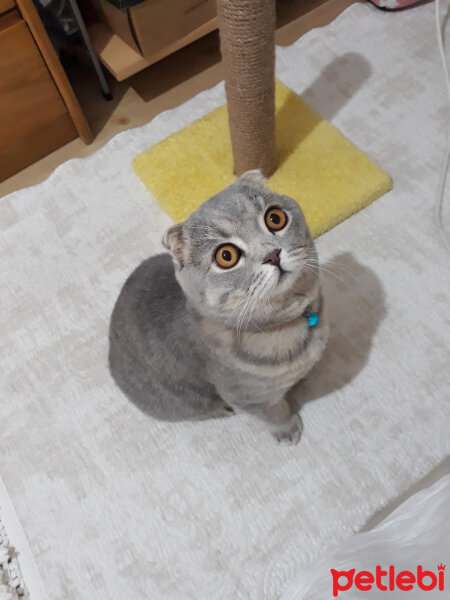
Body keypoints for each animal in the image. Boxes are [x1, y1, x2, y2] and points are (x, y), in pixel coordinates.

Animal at [108, 171, 326, 442]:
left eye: (275, 218)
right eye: (226, 256)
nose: (272, 255)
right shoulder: (249, 398)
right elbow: (275, 413)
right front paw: (287, 428)